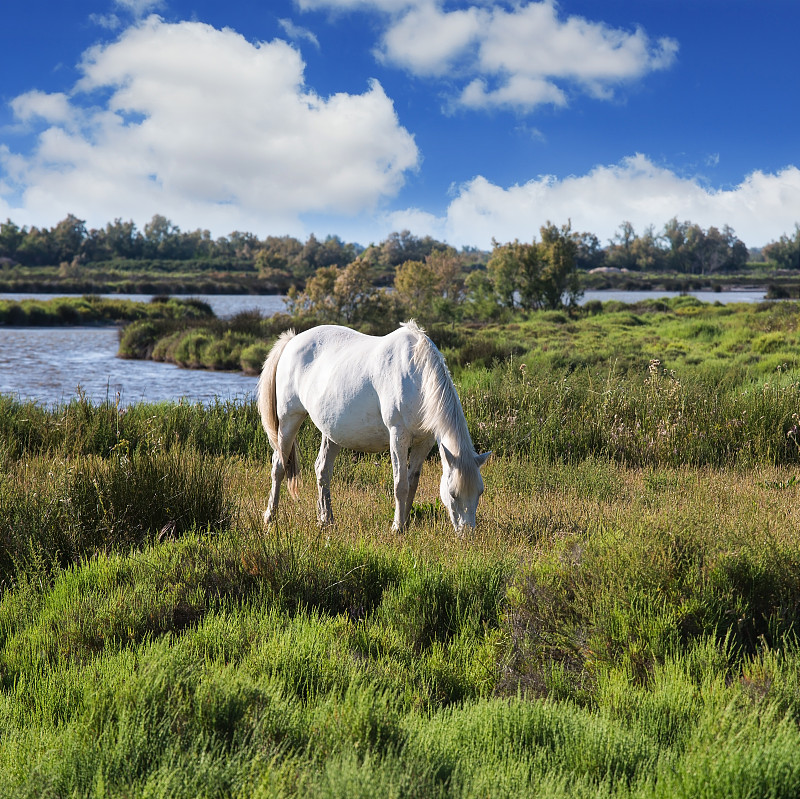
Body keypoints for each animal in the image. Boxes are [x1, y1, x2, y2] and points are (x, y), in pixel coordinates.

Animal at [256, 318, 488, 532]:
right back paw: (270, 516)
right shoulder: (398, 435)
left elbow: (412, 482)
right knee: (278, 466)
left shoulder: (425, 441)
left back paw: (326, 520)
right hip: (289, 420)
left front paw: (406, 522)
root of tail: (293, 340)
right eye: (453, 494)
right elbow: (400, 484)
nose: (468, 534)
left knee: (322, 470)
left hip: (332, 432)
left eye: (480, 491)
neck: (416, 376)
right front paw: (397, 527)